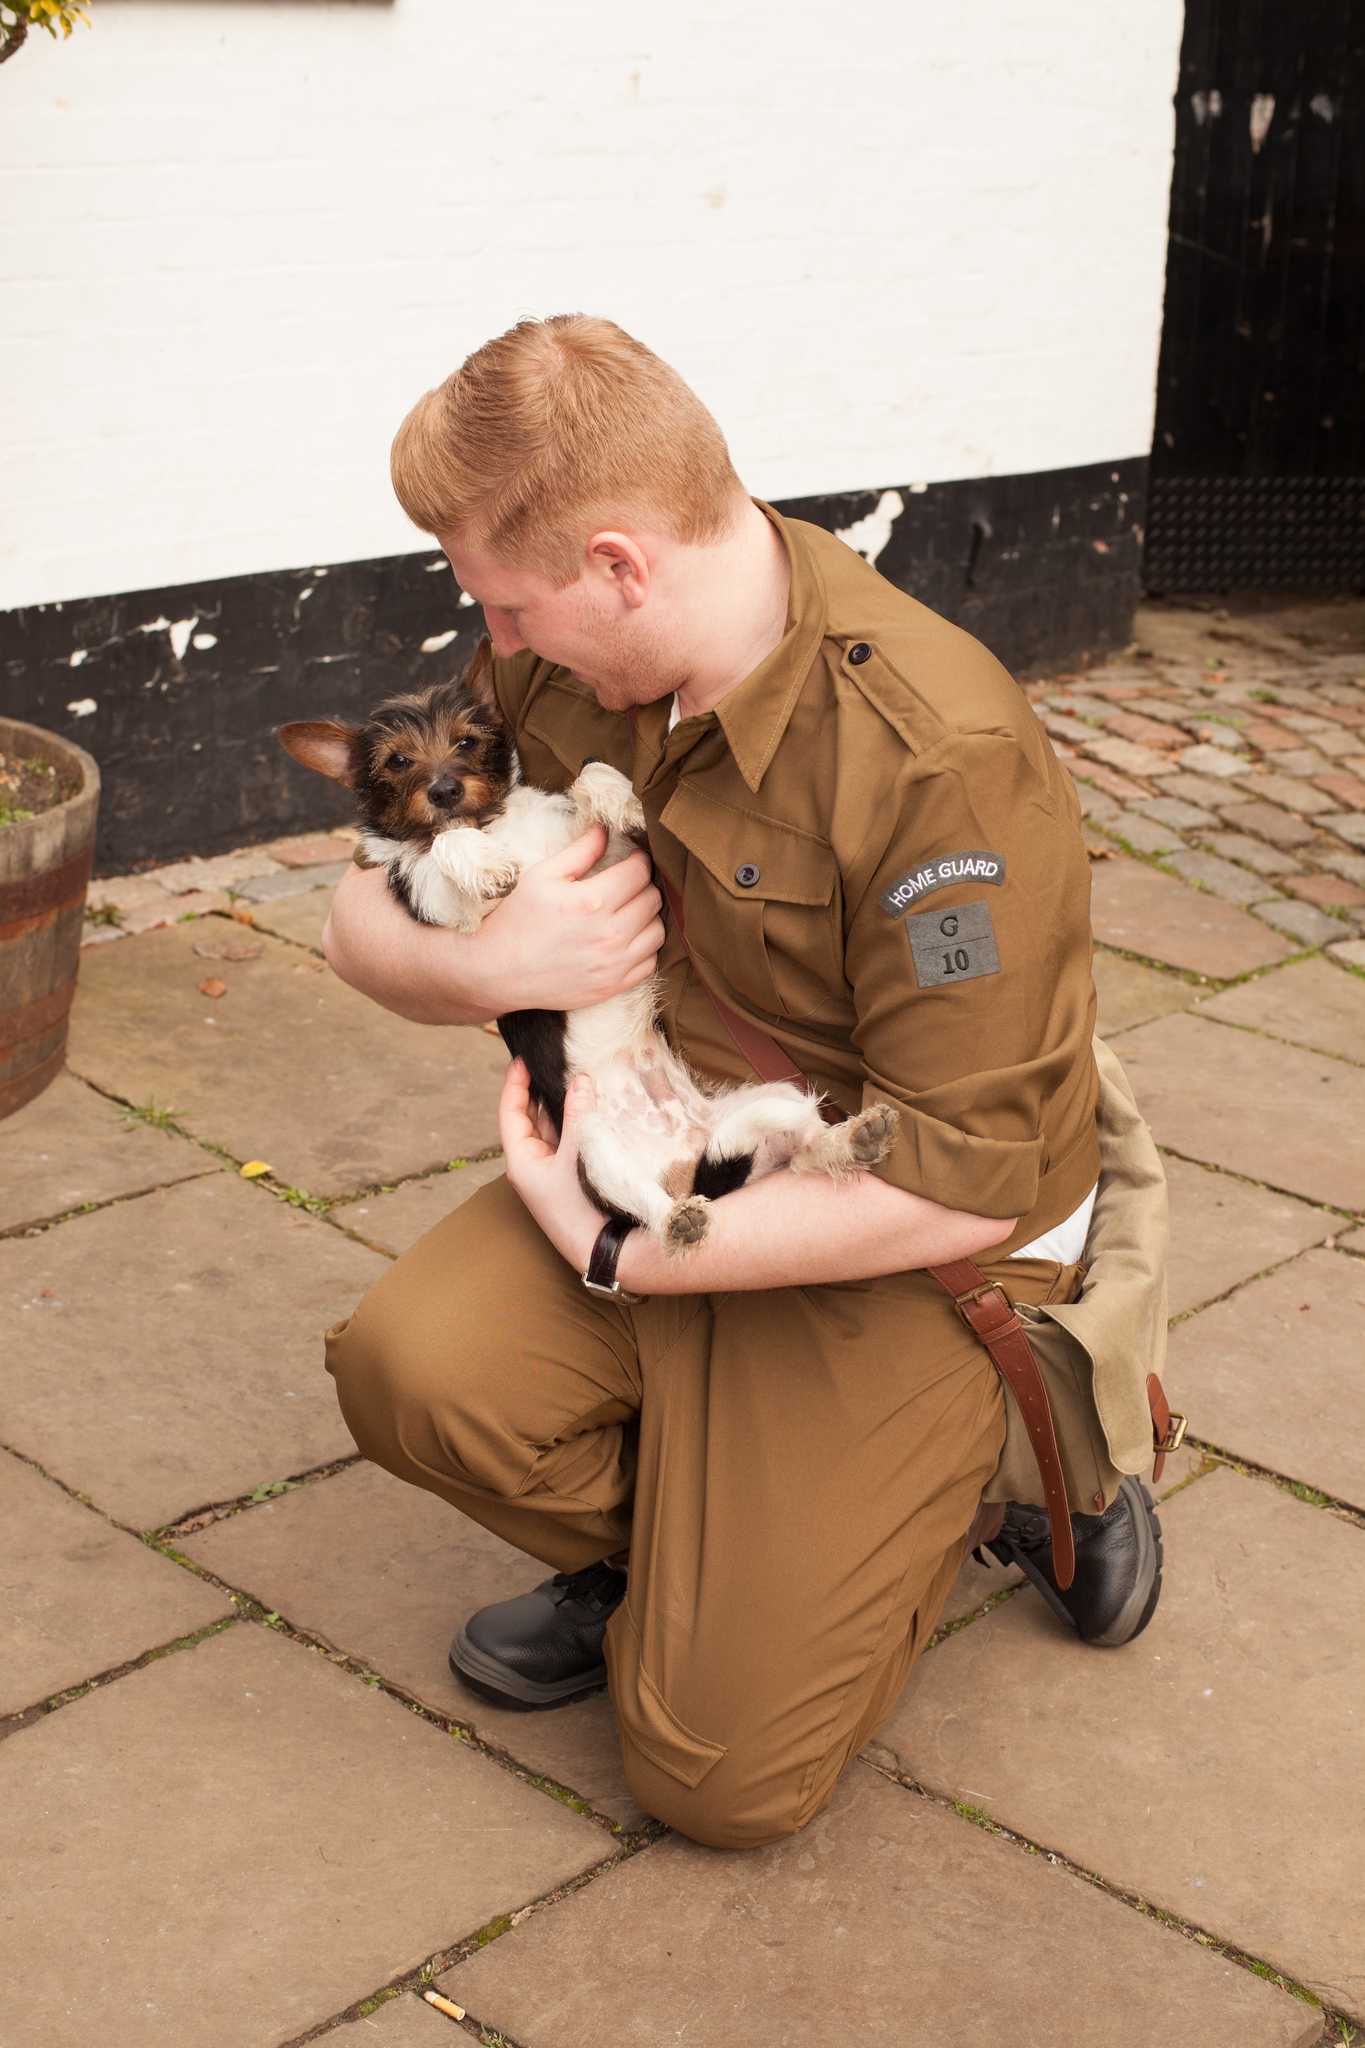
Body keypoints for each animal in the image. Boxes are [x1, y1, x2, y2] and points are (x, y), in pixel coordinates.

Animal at [278, 643, 900, 1245]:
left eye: (467, 741)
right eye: (399, 762)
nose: (445, 790)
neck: (493, 823)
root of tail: (684, 1155)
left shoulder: (607, 853)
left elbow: (587, 777)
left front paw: (622, 798)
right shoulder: (443, 902)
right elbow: (444, 845)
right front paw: (485, 864)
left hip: (774, 1099)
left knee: (802, 1151)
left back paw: (851, 1141)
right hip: (597, 1155)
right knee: (649, 1209)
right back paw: (681, 1219)